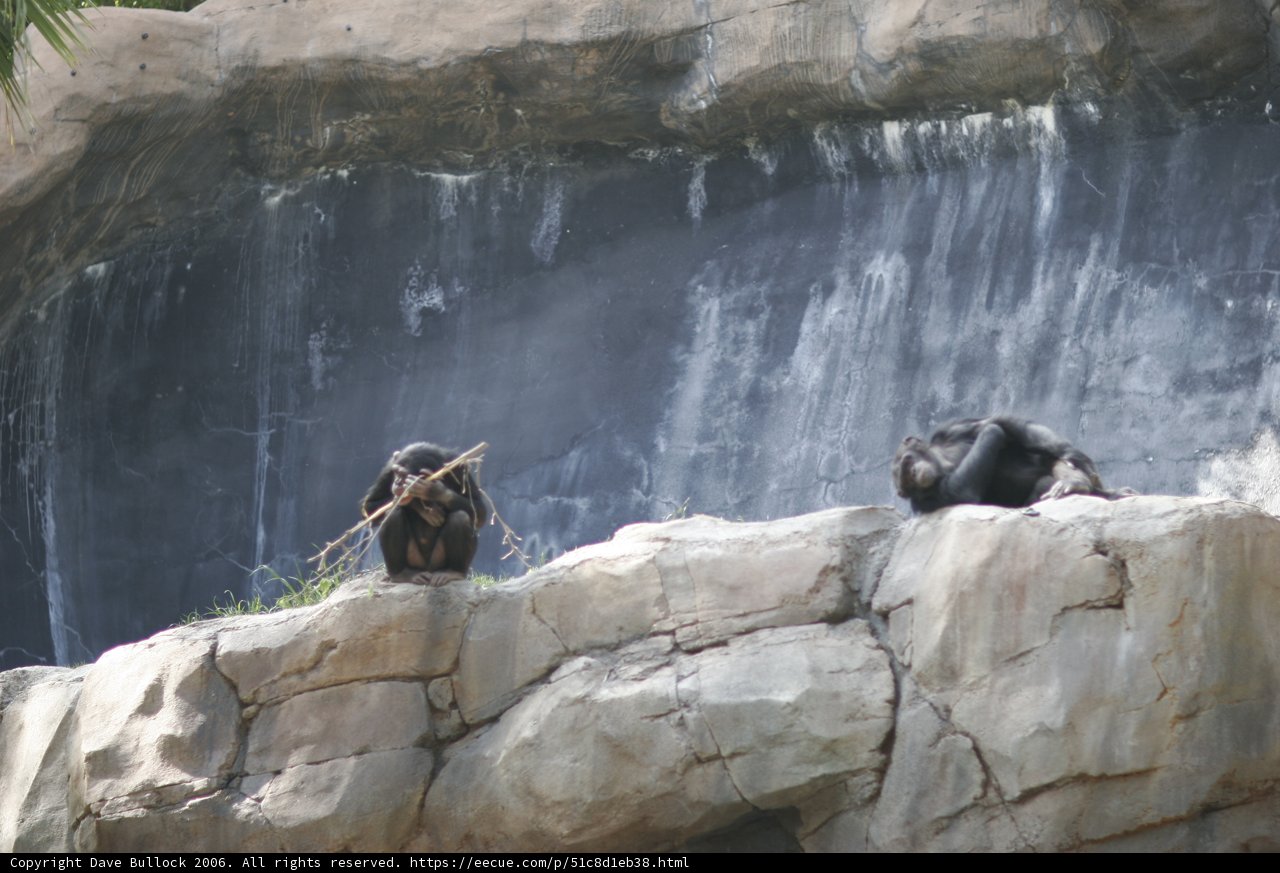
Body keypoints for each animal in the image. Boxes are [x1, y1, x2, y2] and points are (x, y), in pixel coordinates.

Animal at [360, 442, 488, 585]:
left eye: (403, 475)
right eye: (396, 472)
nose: (397, 482)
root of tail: (427, 570)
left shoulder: (459, 467)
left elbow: (479, 510)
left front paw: (433, 490)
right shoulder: (389, 467)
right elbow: (369, 507)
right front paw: (417, 503)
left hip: (438, 561)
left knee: (460, 517)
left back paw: (454, 572)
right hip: (414, 560)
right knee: (392, 514)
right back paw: (401, 574)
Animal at [892, 415, 1133, 515]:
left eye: (906, 462)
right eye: (902, 480)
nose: (909, 474)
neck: (942, 462)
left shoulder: (953, 428)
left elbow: (1007, 425)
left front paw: (1076, 459)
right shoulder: (926, 501)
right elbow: (960, 491)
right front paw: (991, 432)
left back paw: (1078, 484)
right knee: (1044, 482)